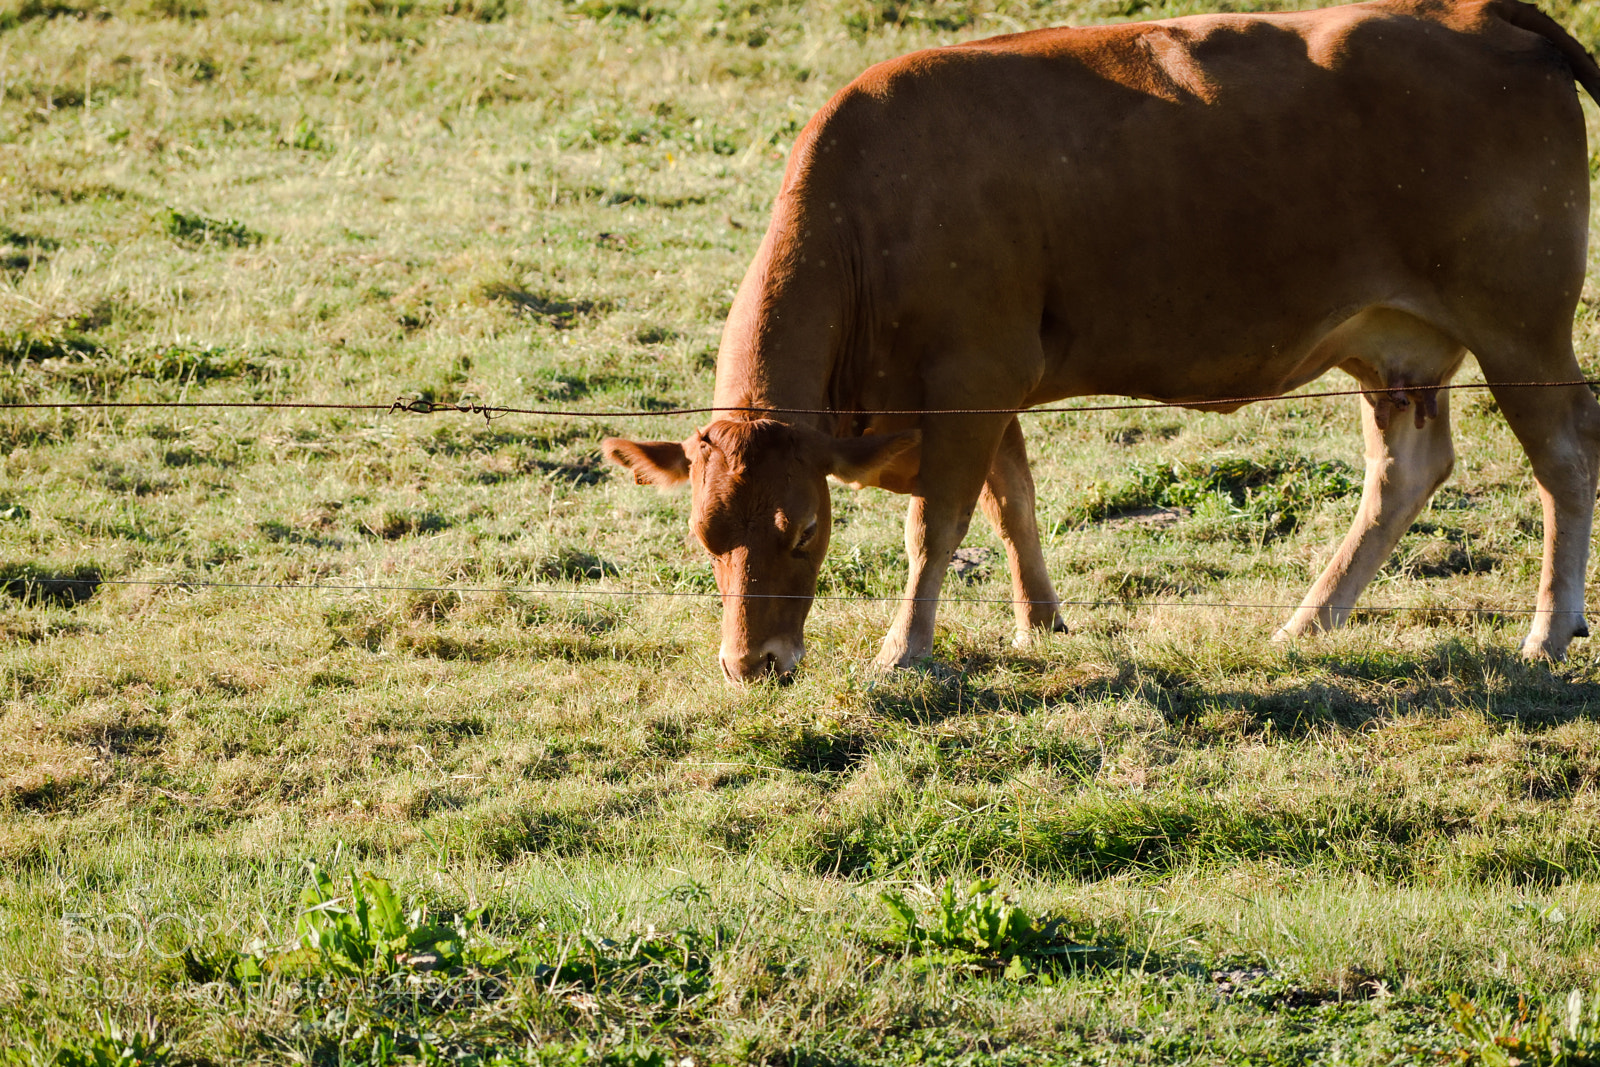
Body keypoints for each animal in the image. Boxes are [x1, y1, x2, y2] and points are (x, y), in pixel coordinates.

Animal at [603, 0, 1600, 683]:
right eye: (704, 535)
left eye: (805, 530)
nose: (754, 665)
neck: (872, 214)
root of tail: (1475, 12)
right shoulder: (988, 391)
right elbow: (1013, 505)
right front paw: (1039, 621)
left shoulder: (972, 377)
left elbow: (937, 524)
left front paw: (905, 649)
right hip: (1398, 351)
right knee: (1404, 473)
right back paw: (1310, 621)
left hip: (1522, 329)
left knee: (1564, 460)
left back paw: (1549, 629)